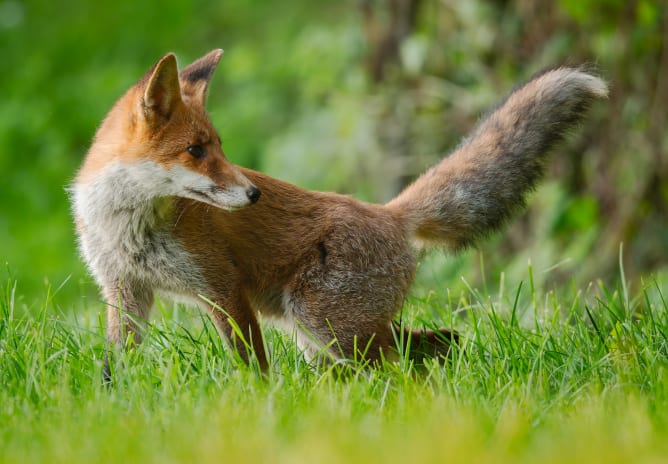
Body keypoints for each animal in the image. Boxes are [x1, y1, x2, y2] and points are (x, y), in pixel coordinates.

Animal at [72, 49, 607, 375]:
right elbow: (114, 366)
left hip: (325, 324)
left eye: (218, 147)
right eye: (196, 151)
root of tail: (390, 214)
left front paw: (256, 405)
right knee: (436, 344)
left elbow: (253, 367)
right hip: (321, 333)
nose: (252, 195)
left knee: (408, 360)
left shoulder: (222, 288)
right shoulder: (125, 292)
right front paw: (111, 403)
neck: (128, 226)